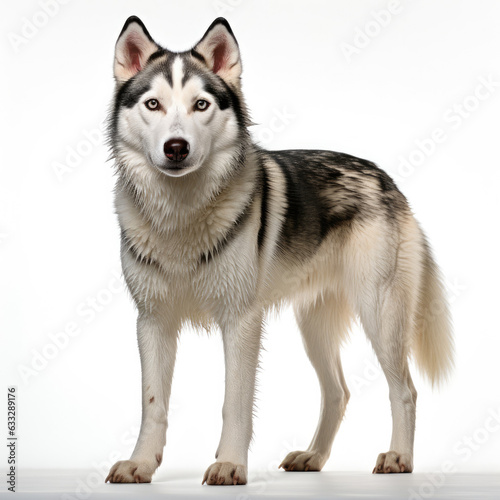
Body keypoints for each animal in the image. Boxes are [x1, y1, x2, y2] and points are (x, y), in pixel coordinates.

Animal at [104, 15, 454, 484]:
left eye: (201, 105)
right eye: (153, 104)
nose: (176, 147)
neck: (182, 214)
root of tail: (388, 180)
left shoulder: (241, 323)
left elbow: (234, 403)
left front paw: (230, 465)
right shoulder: (153, 322)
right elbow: (152, 404)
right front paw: (141, 464)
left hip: (380, 316)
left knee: (405, 390)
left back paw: (398, 458)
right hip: (314, 329)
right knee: (339, 392)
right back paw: (313, 458)